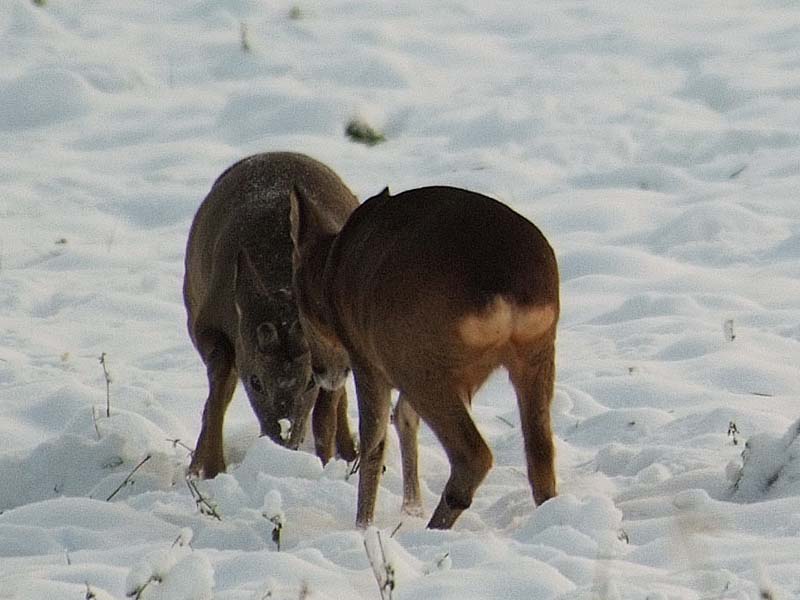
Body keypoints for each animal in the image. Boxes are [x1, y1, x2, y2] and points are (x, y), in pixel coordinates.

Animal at [184, 151, 360, 478]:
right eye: (256, 382)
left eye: (309, 382)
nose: (284, 437)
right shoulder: (205, 322)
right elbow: (219, 385)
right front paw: (209, 470)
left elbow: (324, 416)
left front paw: (325, 464)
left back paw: (350, 453)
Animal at [290, 185, 560, 528]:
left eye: (299, 308)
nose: (321, 371)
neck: (330, 276)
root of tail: (505, 287)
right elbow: (404, 416)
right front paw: (410, 507)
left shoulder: (366, 358)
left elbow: (374, 441)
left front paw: (363, 525)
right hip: (536, 349)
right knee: (540, 454)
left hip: (418, 361)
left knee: (473, 454)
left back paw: (435, 527)